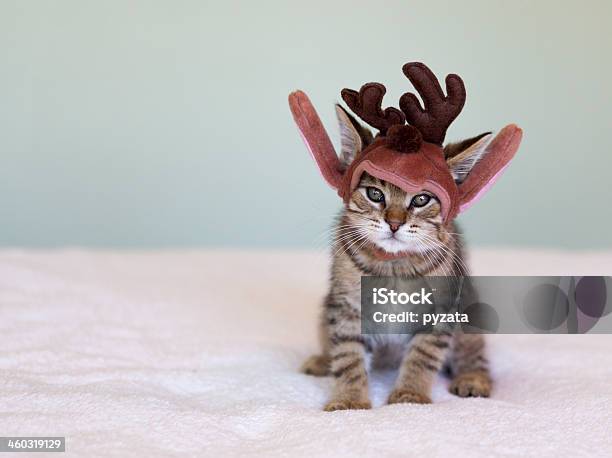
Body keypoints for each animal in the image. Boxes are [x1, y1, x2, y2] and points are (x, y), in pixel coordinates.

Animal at [304, 104, 494, 412]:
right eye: (374, 193)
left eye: (421, 200)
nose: (394, 223)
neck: (393, 266)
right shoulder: (346, 307)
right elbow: (348, 356)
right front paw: (349, 400)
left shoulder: (440, 309)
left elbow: (422, 356)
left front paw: (410, 395)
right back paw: (322, 360)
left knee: (474, 351)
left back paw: (474, 378)